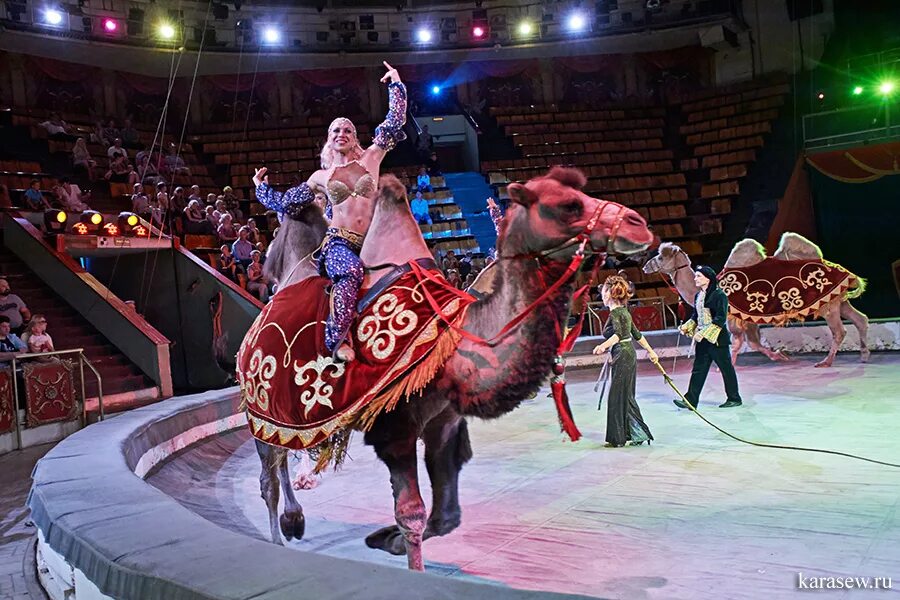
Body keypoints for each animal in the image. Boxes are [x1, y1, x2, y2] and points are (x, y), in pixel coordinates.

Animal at [253, 166, 652, 568]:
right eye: (569, 205)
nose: (638, 225)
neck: (452, 341)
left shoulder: (443, 421)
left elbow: (446, 515)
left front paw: (386, 539)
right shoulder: (394, 427)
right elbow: (411, 514)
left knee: (282, 454)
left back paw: (294, 520)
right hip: (263, 404)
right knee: (269, 473)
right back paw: (279, 535)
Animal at [644, 233, 868, 366]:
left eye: (661, 257)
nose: (645, 266)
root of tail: (847, 273)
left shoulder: (734, 317)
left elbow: (740, 342)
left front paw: (728, 365)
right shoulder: (748, 318)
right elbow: (753, 342)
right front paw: (780, 355)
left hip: (829, 305)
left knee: (839, 331)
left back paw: (826, 361)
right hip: (839, 300)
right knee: (860, 319)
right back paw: (864, 354)